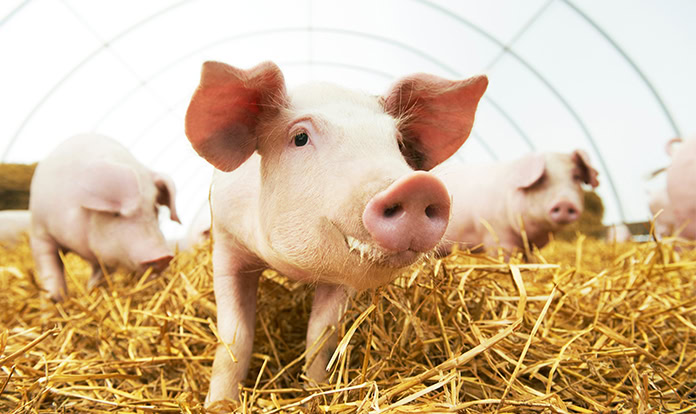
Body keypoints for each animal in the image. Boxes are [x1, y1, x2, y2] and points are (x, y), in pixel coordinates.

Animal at [29, 134, 180, 301]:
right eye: (116, 214)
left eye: (154, 209)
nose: (163, 257)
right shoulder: (40, 233)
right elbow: (50, 270)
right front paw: (53, 300)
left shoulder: (107, 256)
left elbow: (101, 275)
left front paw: (92, 292)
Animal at [184, 61, 487, 405]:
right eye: (300, 138)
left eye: (397, 143)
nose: (418, 186)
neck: (293, 269)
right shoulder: (226, 244)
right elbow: (234, 336)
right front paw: (219, 404)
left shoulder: (342, 278)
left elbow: (321, 335)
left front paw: (316, 393)